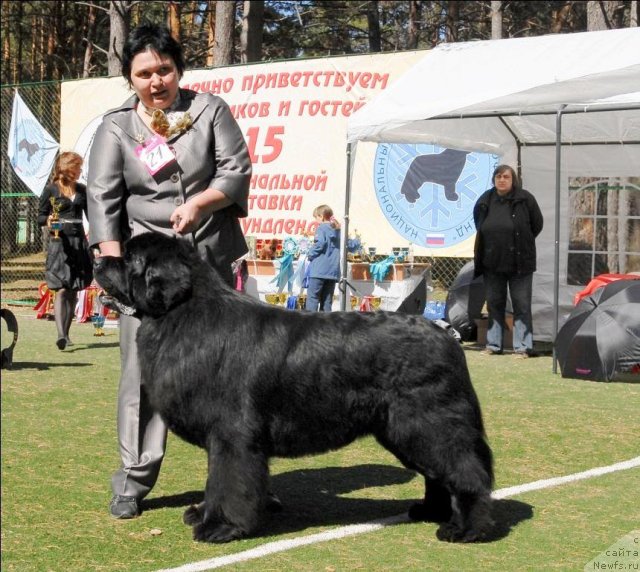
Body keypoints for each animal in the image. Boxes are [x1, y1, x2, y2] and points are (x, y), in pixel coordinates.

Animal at [94, 233, 496, 544]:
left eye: (130, 257)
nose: (99, 258)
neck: (183, 314)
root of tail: (446, 336)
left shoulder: (232, 434)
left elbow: (227, 481)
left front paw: (220, 527)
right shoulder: (221, 438)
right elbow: (215, 480)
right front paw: (203, 513)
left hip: (429, 424)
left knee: (467, 472)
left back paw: (465, 529)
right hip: (405, 430)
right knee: (438, 475)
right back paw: (429, 511)